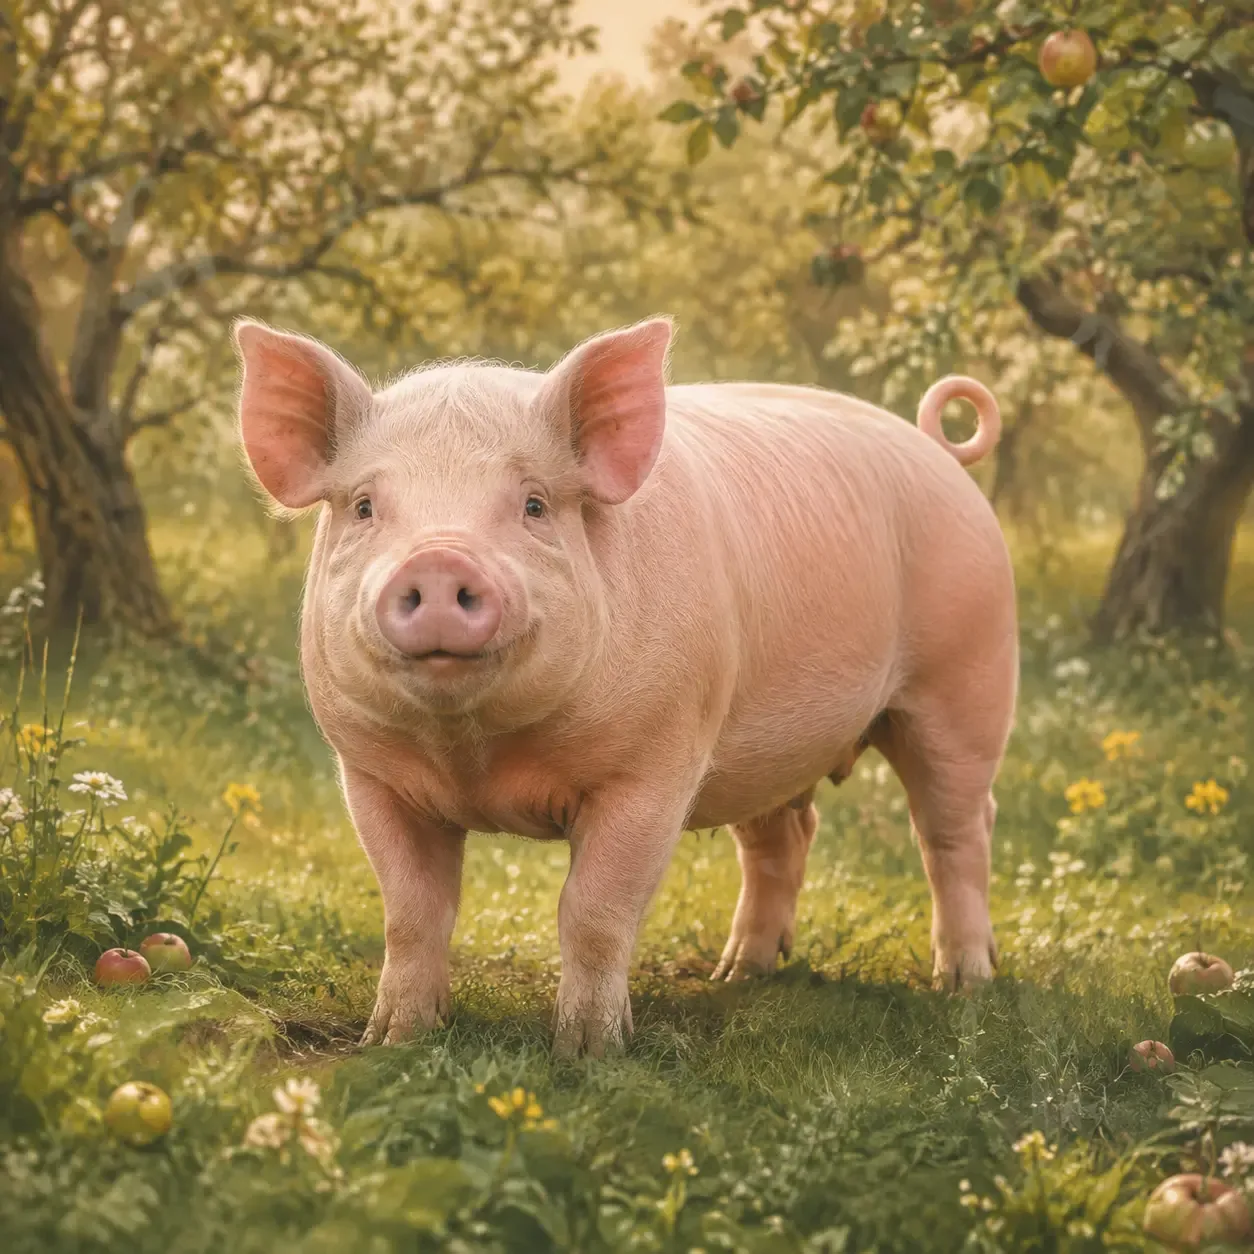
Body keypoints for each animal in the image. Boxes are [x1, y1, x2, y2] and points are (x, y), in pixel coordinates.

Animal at [234, 316, 1018, 1057]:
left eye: (535, 505)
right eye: (365, 506)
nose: (437, 560)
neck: (477, 753)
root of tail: (935, 449)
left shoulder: (655, 764)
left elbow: (594, 910)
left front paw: (588, 1052)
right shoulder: (369, 772)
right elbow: (410, 911)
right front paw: (393, 1039)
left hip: (965, 681)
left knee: (955, 829)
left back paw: (965, 984)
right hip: (763, 740)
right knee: (784, 835)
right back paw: (738, 973)